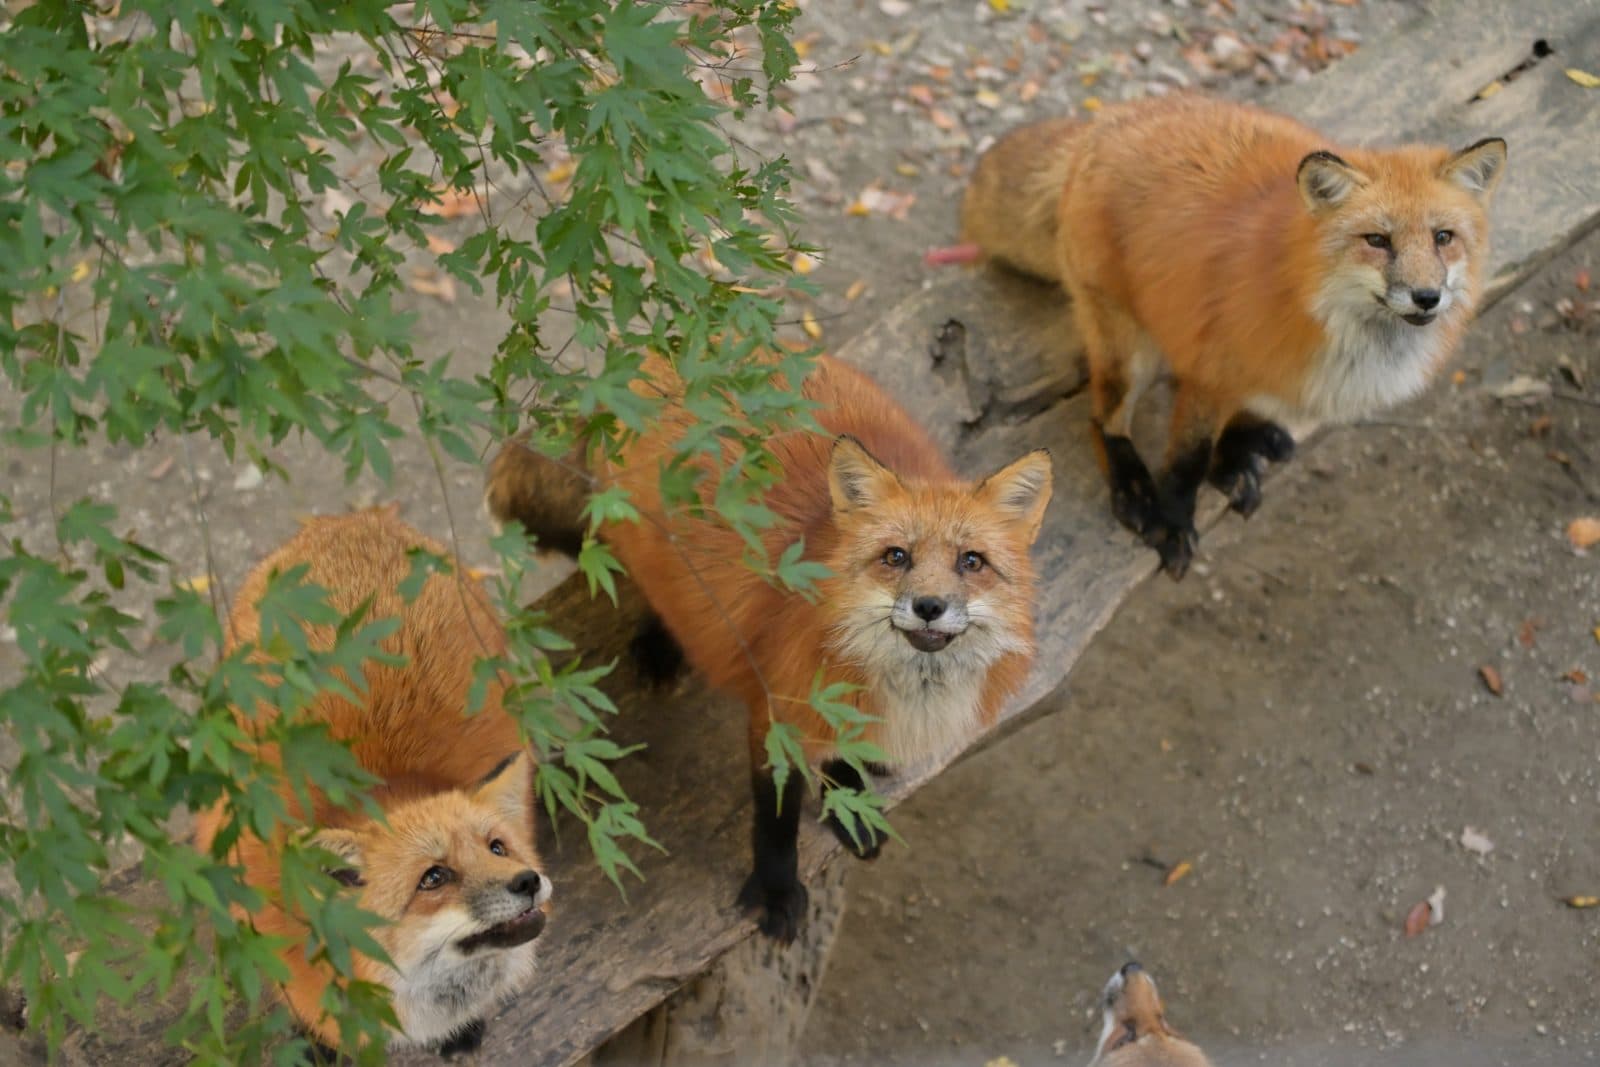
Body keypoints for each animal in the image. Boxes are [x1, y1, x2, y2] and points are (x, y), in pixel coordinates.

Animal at [485, 352, 1052, 941]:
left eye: (971, 562)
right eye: (896, 557)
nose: (929, 605)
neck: (904, 689)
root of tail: (651, 352)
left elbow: (843, 759)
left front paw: (851, 805)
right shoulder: (779, 716)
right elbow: (776, 820)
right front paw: (778, 892)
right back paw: (660, 644)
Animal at [957, 94, 1505, 577]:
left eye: (1443, 238)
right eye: (1378, 240)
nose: (1426, 296)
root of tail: (1110, 118)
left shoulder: (1275, 376)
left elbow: (1242, 420)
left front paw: (1234, 458)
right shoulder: (1212, 367)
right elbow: (1186, 460)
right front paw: (1174, 522)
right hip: (1128, 348)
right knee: (1103, 420)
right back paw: (1133, 487)